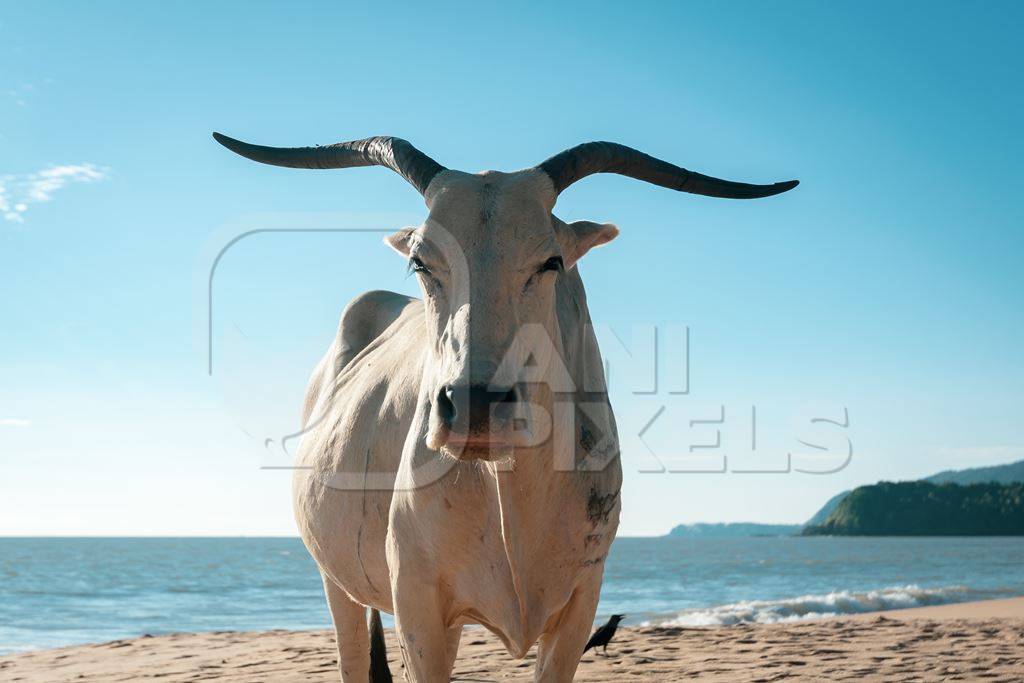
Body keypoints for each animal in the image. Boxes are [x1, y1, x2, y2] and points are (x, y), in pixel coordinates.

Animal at [211, 131, 794, 679]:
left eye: (551, 261)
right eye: (421, 262)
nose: (473, 407)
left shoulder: (580, 607)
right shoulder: (420, 611)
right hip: (338, 584)